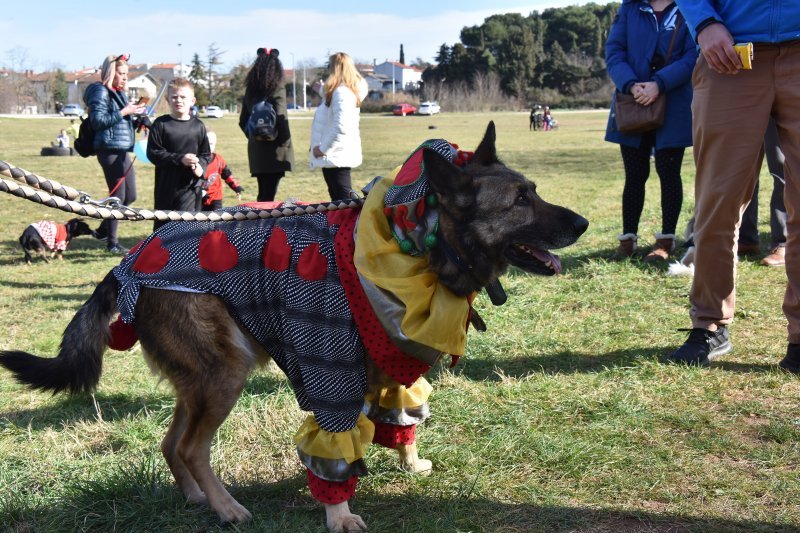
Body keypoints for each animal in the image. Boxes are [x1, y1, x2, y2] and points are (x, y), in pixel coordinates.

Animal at [0, 122, 588, 528]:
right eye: (520, 201)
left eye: (534, 189)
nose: (582, 223)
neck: (419, 243)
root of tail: (128, 264)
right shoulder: (332, 378)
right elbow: (335, 446)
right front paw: (339, 514)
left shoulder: (394, 369)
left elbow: (402, 422)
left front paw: (409, 463)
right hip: (225, 377)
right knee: (190, 448)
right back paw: (226, 508)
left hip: (201, 382)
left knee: (172, 444)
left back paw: (196, 498)